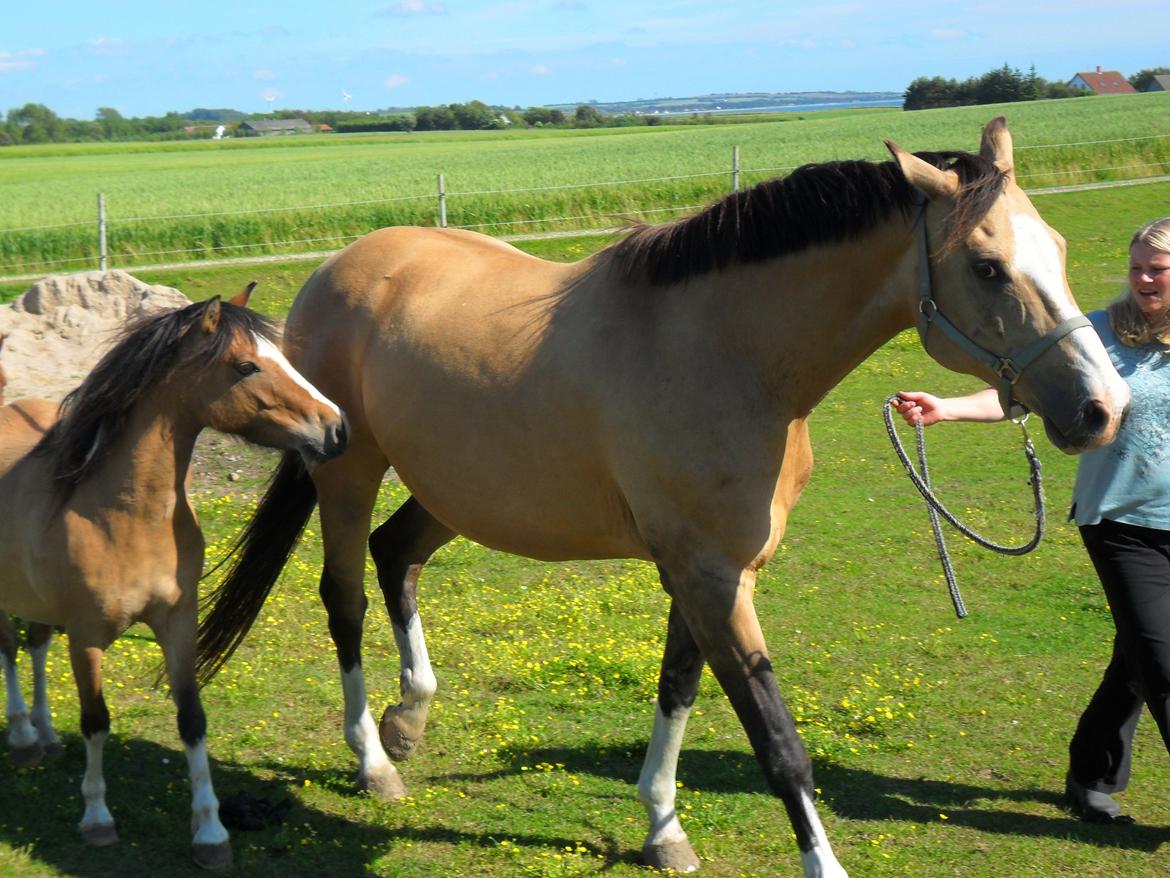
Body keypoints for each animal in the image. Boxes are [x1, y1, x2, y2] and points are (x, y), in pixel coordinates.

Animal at [0, 290, 346, 875]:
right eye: (246, 365)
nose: (337, 428)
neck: (125, 516)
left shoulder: (179, 624)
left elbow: (192, 718)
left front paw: (210, 832)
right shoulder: (87, 637)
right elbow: (96, 720)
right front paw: (97, 819)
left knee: (36, 647)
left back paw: (45, 736)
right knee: (9, 651)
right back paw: (25, 739)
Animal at [196, 118, 1127, 878]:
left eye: (1058, 249)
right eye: (988, 266)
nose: (1102, 409)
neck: (727, 352)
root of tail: (337, 270)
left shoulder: (711, 571)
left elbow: (678, 688)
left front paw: (662, 827)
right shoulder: (711, 577)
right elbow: (777, 740)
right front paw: (816, 859)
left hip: (460, 492)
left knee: (397, 556)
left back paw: (409, 720)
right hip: (348, 474)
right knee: (345, 598)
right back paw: (375, 761)